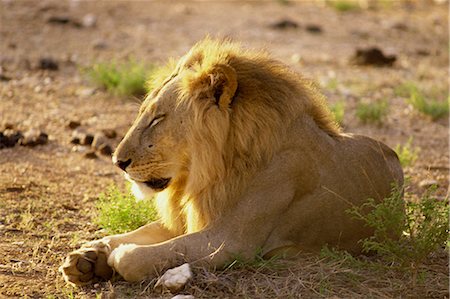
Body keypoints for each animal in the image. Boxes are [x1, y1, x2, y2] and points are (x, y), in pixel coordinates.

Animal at [60, 38, 404, 286]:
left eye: (158, 119)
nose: (118, 161)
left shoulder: (231, 241)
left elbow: (140, 256)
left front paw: (112, 259)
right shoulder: (188, 220)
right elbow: (136, 232)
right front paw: (87, 256)